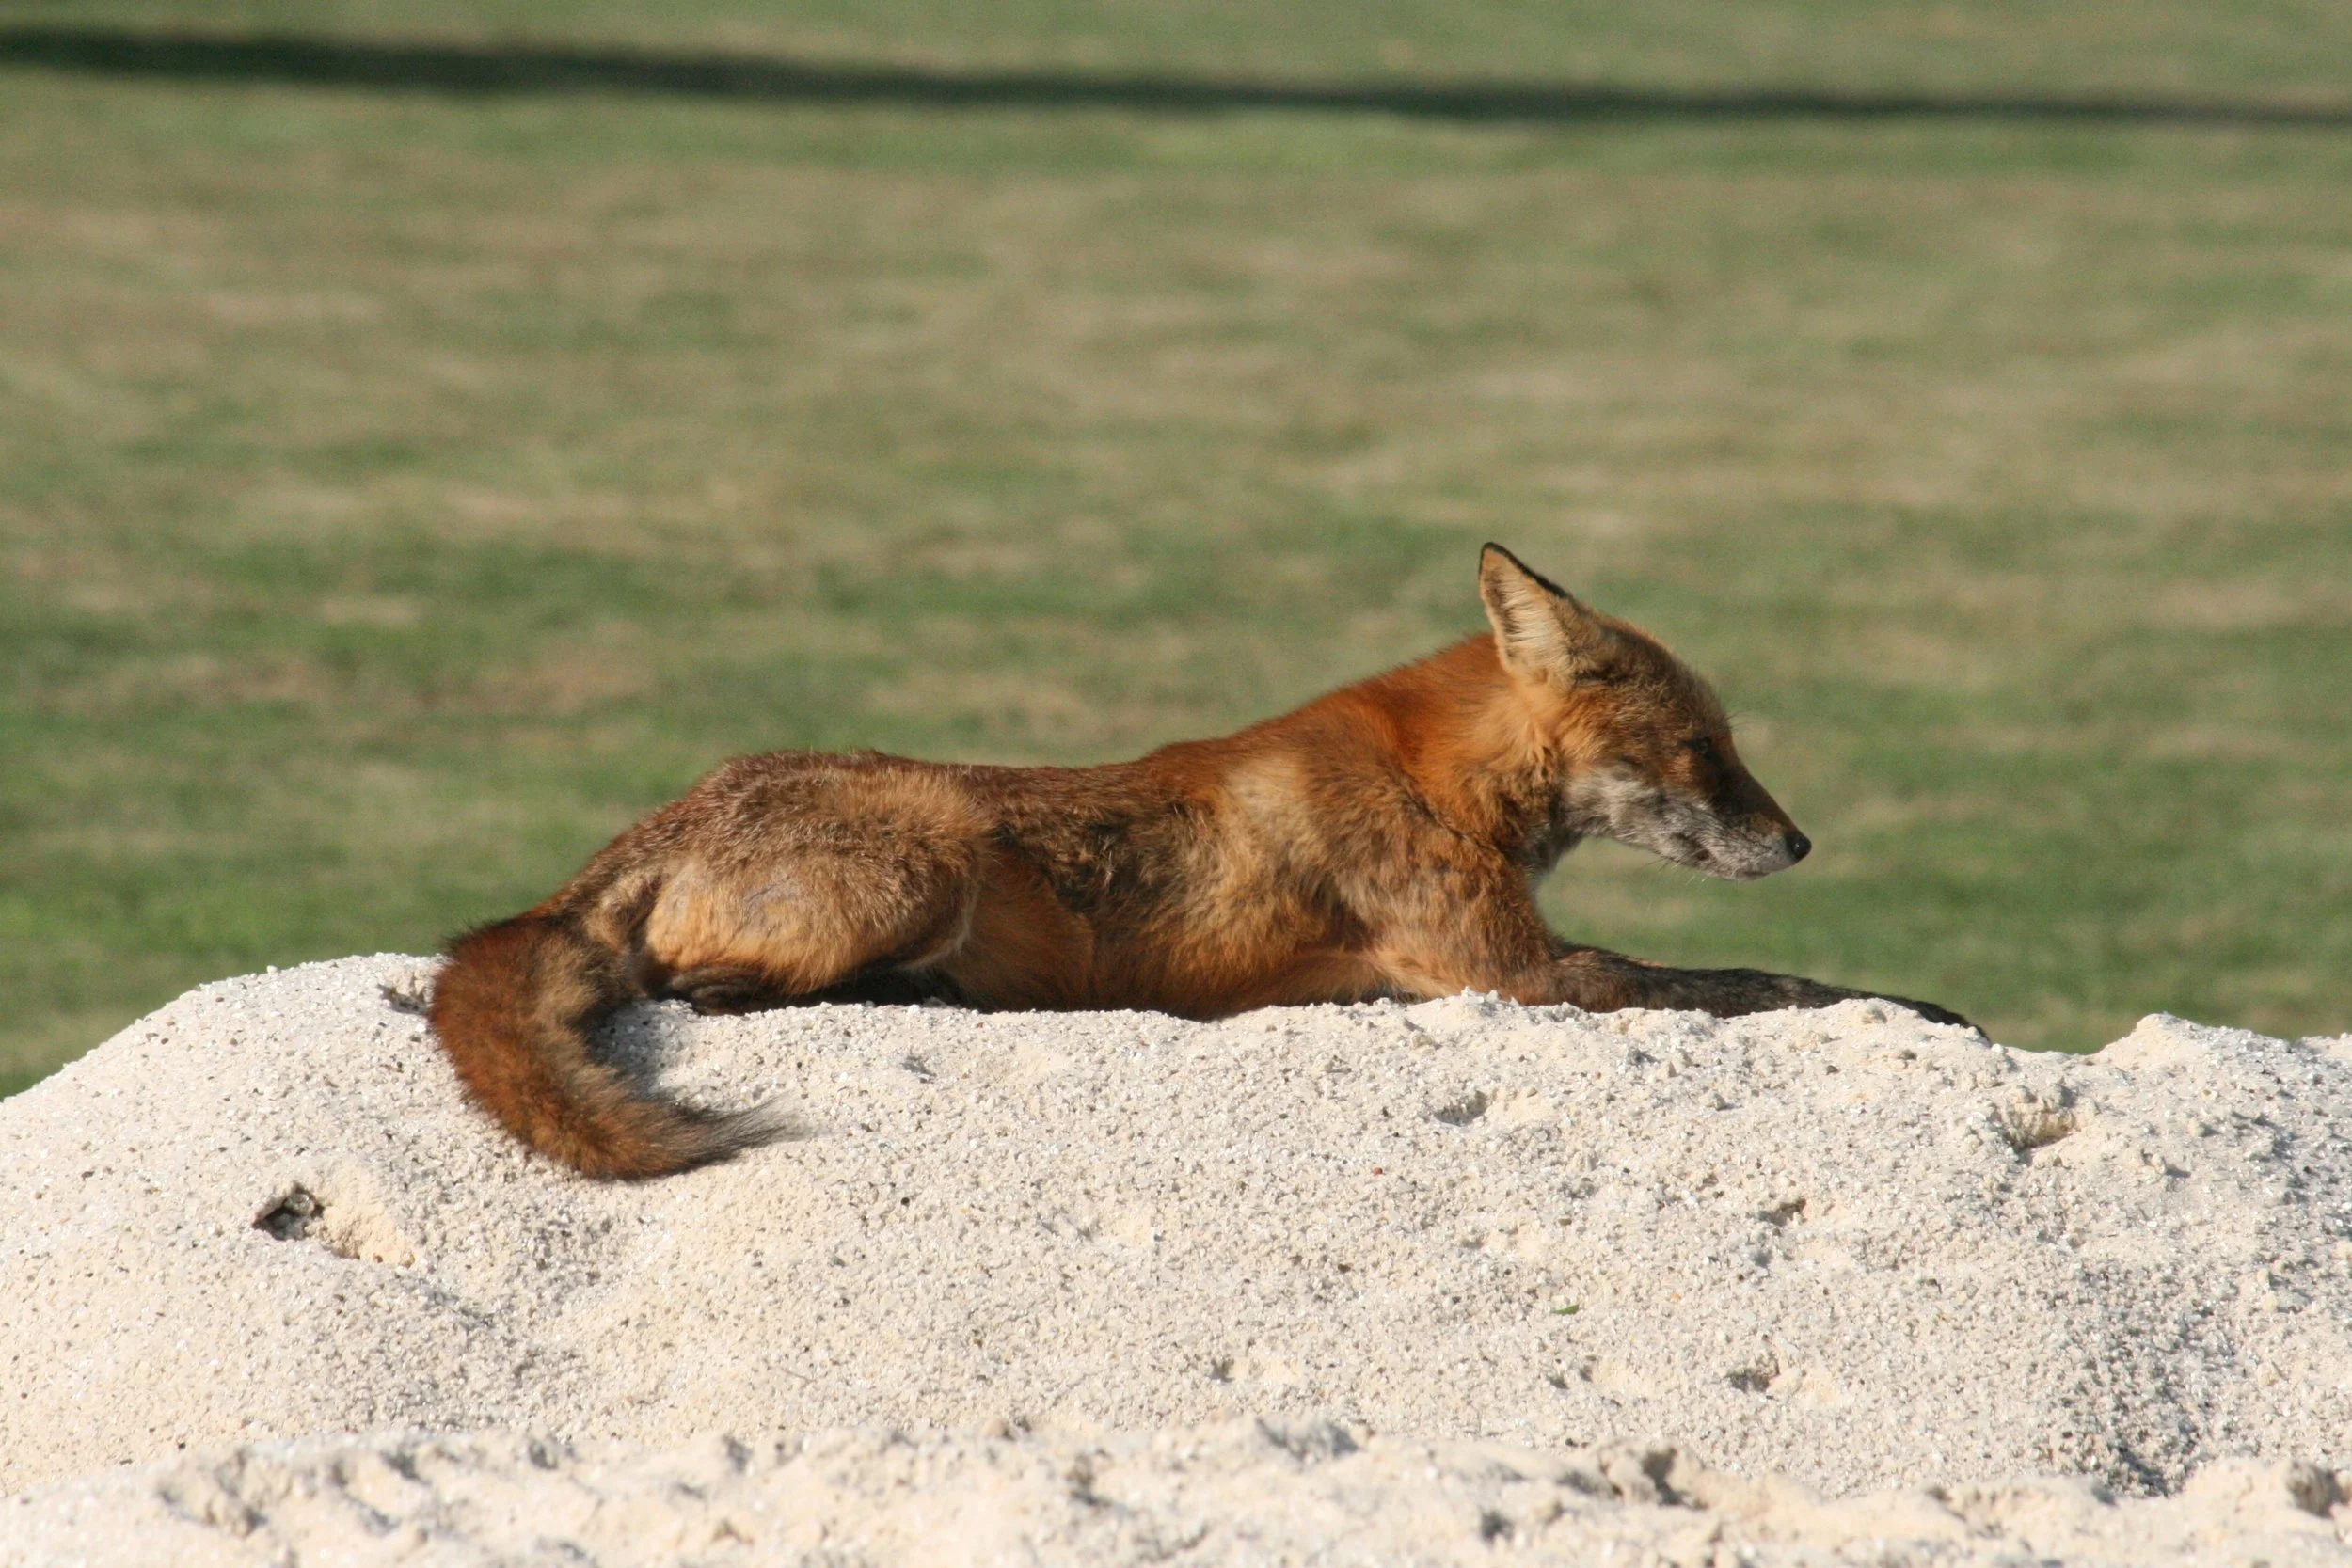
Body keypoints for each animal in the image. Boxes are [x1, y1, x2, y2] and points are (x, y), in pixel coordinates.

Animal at [430, 544, 1969, 1179]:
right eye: (1706, 750)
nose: (1798, 839)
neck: (1433, 775)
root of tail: (648, 825)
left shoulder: (1510, 964)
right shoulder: (1519, 972)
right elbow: (1769, 981)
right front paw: (1922, 1003)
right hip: (933, 850)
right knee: (712, 991)